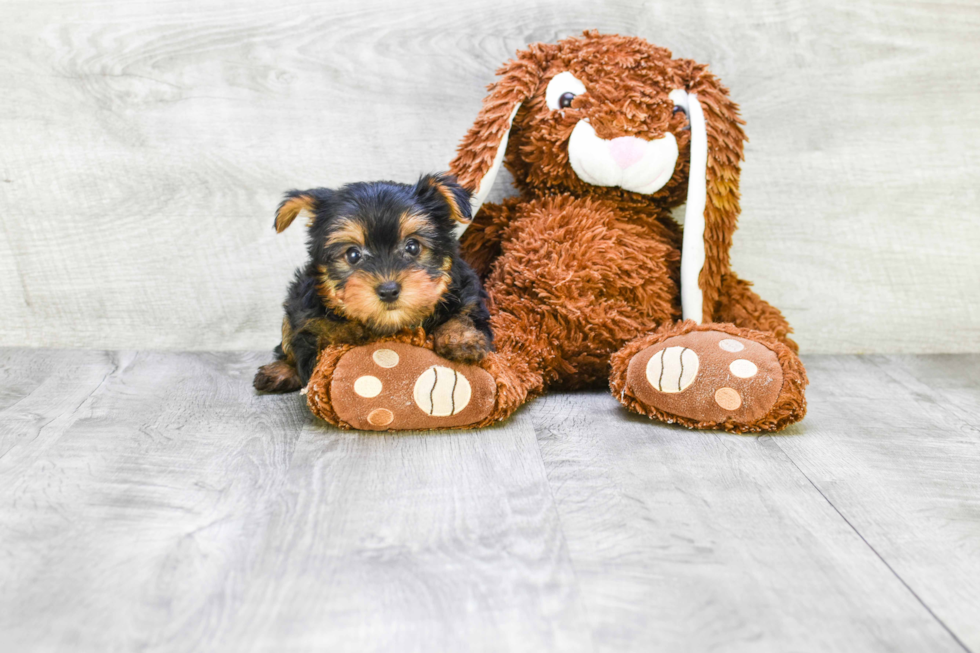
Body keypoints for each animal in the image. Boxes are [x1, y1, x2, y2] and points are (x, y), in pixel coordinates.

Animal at [256, 172, 494, 392]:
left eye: (412, 246)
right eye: (353, 255)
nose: (388, 290)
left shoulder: (468, 296)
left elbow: (462, 316)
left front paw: (461, 339)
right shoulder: (305, 318)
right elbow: (321, 340)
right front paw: (349, 335)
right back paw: (279, 372)